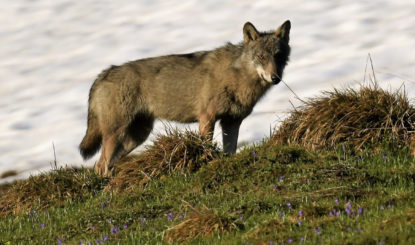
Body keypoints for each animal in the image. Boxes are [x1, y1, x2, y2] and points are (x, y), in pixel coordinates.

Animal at [79, 20, 292, 175]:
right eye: (261, 57)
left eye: (278, 56)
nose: (275, 78)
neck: (238, 77)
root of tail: (104, 73)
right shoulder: (207, 118)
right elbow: (206, 146)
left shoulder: (232, 122)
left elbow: (230, 151)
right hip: (117, 134)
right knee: (101, 165)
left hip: (136, 137)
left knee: (106, 164)